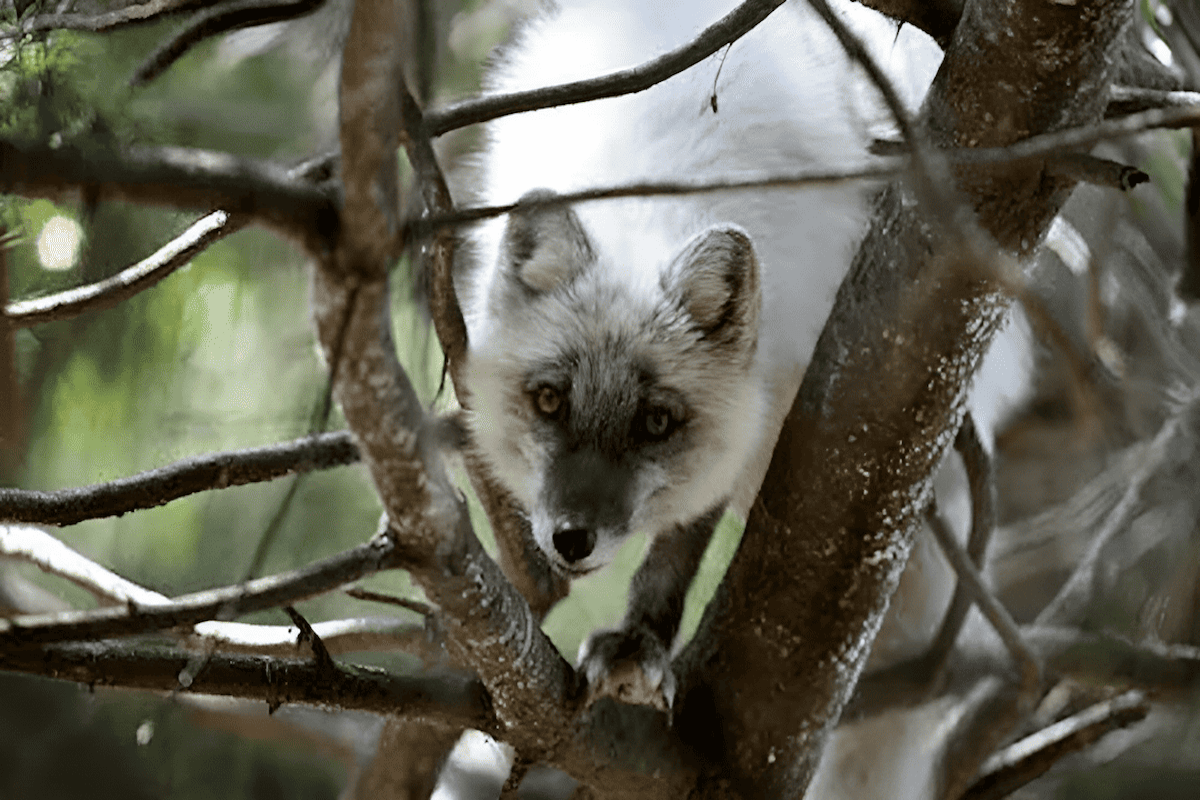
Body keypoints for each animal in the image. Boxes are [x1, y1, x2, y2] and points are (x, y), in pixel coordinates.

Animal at [458, 0, 1028, 707]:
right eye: (548, 401)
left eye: (657, 422)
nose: (571, 539)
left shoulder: (763, 390)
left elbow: (680, 544)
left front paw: (639, 642)